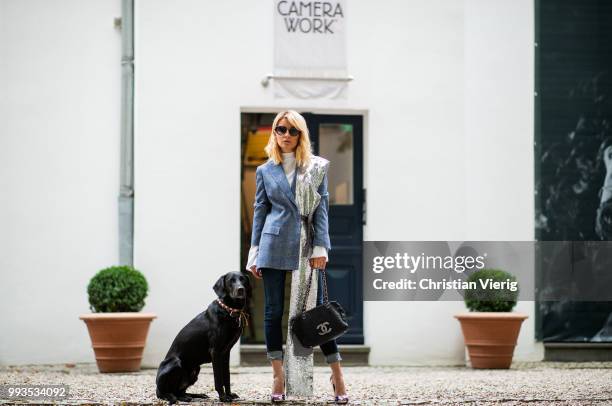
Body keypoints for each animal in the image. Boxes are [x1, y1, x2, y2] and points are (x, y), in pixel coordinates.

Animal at [155, 272, 251, 404]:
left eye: (243, 280)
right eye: (231, 281)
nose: (241, 289)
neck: (229, 311)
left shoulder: (226, 353)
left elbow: (227, 377)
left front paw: (229, 395)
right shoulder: (215, 351)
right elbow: (218, 379)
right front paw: (223, 397)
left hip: (195, 370)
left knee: (180, 391)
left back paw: (193, 396)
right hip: (175, 363)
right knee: (165, 392)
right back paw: (174, 397)